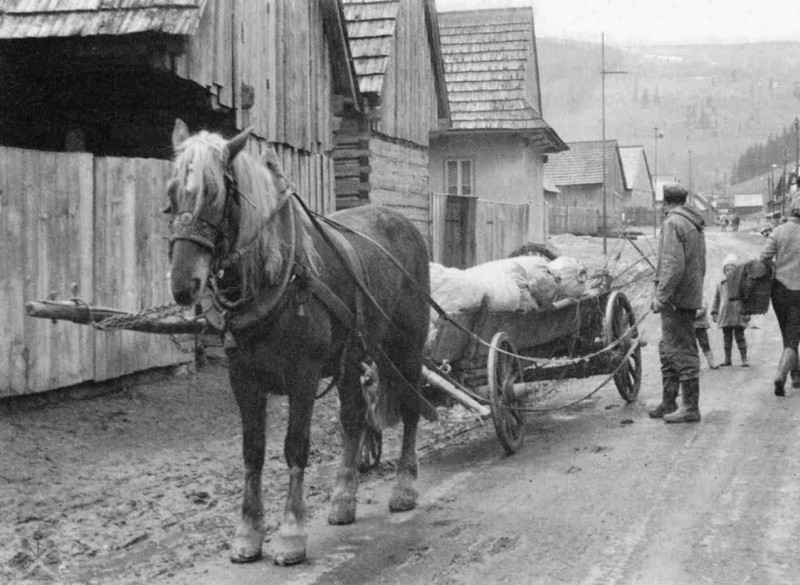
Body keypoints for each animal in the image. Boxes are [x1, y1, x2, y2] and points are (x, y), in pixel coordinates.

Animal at [165, 119, 430, 565]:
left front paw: (291, 533)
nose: (184, 285)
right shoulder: (243, 379)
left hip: (406, 348)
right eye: (171, 194)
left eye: (215, 193)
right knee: (353, 417)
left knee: (410, 408)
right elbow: (253, 451)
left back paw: (405, 487)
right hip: (352, 356)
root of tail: (403, 221)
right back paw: (343, 498)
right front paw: (248, 533)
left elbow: (294, 447)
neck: (277, 276)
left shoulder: (302, 376)